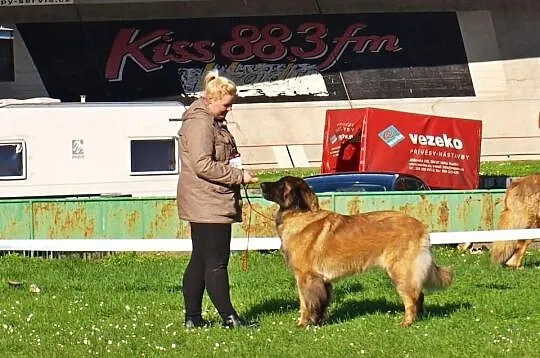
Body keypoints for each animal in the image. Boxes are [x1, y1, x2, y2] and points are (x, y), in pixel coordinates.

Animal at [260, 176, 454, 328]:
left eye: (280, 184)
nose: (261, 184)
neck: (299, 214)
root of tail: (420, 226)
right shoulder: (322, 280)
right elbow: (322, 302)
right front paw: (319, 322)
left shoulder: (305, 277)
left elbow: (306, 303)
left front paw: (304, 324)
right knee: (419, 294)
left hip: (400, 271)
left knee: (412, 297)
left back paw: (407, 323)